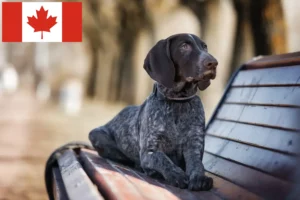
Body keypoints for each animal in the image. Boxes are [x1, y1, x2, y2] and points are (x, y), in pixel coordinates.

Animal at [89, 33, 218, 191]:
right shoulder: (149, 151)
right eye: (184, 46)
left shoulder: (194, 146)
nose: (213, 63)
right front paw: (176, 174)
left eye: (205, 47)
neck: (177, 102)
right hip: (97, 135)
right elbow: (162, 159)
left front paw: (199, 177)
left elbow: (197, 164)